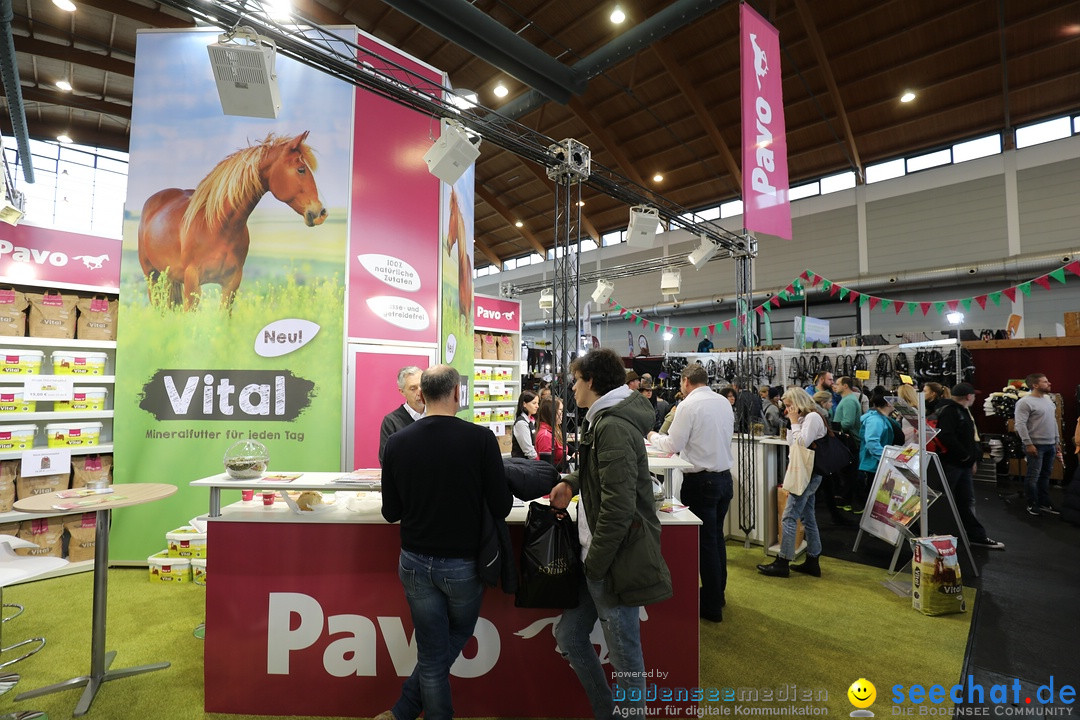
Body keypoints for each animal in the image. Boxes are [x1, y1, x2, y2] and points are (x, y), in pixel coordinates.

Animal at [134, 131, 321, 310]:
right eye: (301, 169)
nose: (320, 212)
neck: (218, 226)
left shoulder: (231, 284)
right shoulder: (192, 283)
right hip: (152, 276)